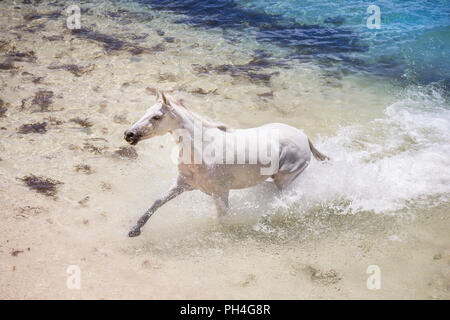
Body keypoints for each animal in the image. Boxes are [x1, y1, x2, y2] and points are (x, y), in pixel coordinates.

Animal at [125, 91, 328, 236]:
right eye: (145, 112)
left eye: (156, 117)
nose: (128, 134)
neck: (203, 150)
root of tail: (303, 137)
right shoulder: (183, 184)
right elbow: (157, 202)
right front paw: (134, 230)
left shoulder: (220, 192)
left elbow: (222, 218)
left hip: (285, 180)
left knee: (286, 200)